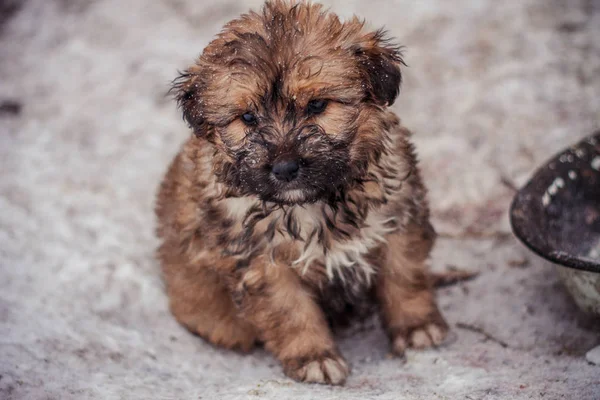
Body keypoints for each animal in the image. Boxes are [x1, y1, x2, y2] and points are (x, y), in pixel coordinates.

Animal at [155, 0, 446, 386]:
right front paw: (315, 357)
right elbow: (291, 311)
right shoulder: (262, 263)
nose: (285, 168)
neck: (320, 202)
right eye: (248, 118)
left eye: (317, 105)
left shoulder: (398, 217)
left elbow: (404, 276)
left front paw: (417, 326)